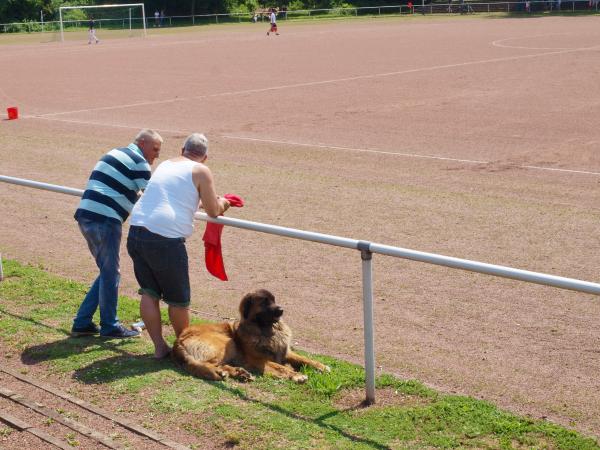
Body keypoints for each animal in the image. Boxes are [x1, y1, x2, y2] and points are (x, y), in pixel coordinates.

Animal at [171, 288, 330, 384]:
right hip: (227, 342)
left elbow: (305, 359)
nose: (281, 310)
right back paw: (225, 372)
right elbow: (279, 366)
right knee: (210, 364)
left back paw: (238, 373)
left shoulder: (285, 351)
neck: (266, 331)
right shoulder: (257, 359)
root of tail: (179, 340)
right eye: (264, 302)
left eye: (274, 300)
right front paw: (296, 374)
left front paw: (321, 366)